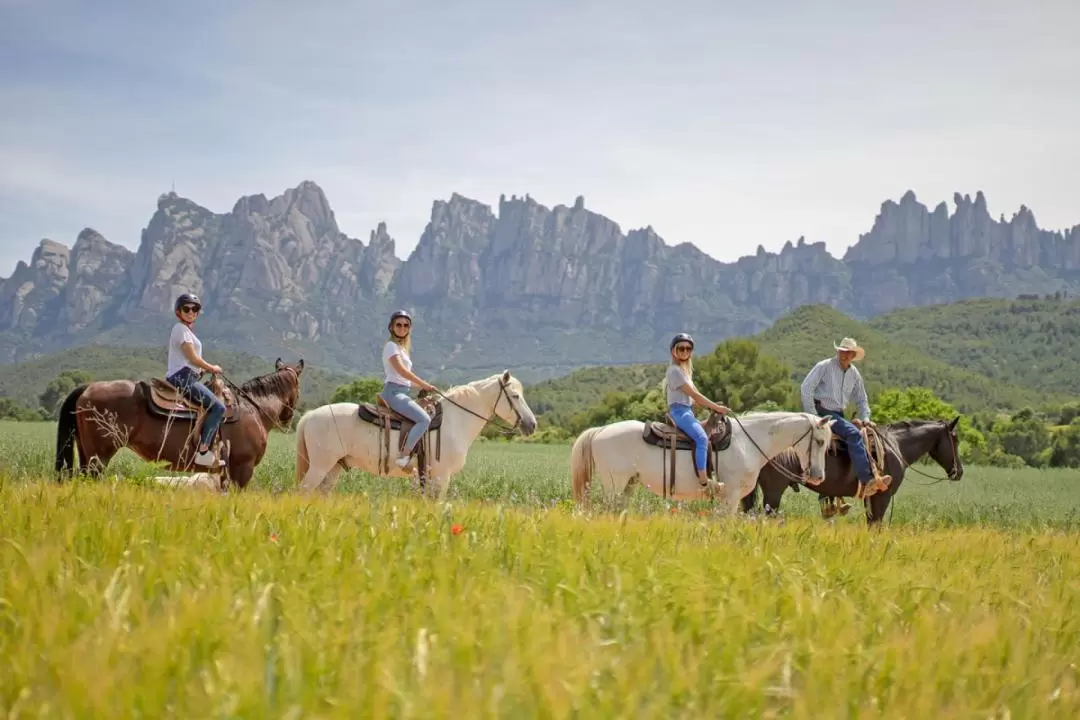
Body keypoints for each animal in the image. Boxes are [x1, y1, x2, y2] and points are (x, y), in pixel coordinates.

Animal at [57, 358, 306, 490]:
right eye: (298, 388)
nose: (287, 418)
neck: (253, 408)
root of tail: (87, 387)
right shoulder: (242, 469)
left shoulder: (226, 472)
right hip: (98, 457)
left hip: (87, 453)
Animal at [293, 371, 537, 500]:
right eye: (515, 396)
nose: (532, 424)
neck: (454, 421)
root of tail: (310, 415)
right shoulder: (441, 477)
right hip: (319, 467)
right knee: (302, 493)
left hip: (332, 469)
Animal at [570, 410, 829, 511]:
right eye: (819, 441)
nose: (818, 477)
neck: (748, 441)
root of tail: (600, 430)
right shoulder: (731, 497)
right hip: (613, 485)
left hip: (628, 486)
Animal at [743, 414, 963, 526]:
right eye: (956, 439)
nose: (959, 472)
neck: (896, 445)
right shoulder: (882, 496)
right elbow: (876, 526)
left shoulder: (871, 498)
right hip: (773, 491)